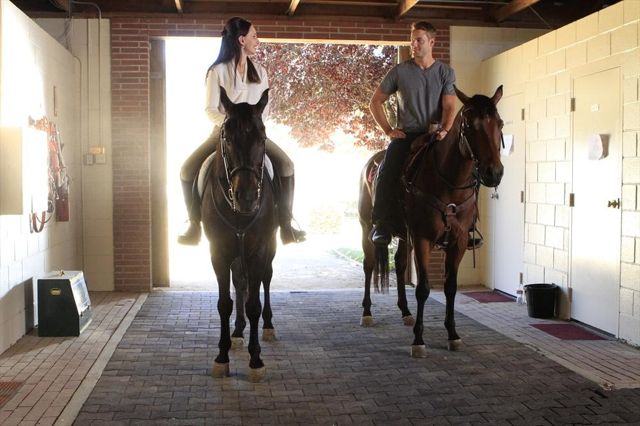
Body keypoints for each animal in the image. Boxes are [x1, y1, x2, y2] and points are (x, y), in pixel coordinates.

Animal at [201, 88, 278, 382]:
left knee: (265, 280)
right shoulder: (219, 252)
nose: (246, 197)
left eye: (263, 136)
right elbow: (225, 302)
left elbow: (254, 302)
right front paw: (222, 356)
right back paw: (237, 331)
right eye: (226, 137)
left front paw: (256, 359)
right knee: (240, 282)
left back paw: (267, 326)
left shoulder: (259, 251)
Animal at [358, 84, 502, 356]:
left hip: (404, 235)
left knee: (400, 264)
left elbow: (450, 286)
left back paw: (405, 312)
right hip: (366, 226)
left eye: (499, 123)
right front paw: (418, 340)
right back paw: (367, 312)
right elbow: (423, 288)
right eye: (469, 125)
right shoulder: (422, 238)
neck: (448, 183)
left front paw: (453, 334)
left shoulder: (457, 241)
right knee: (369, 264)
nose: (494, 173)